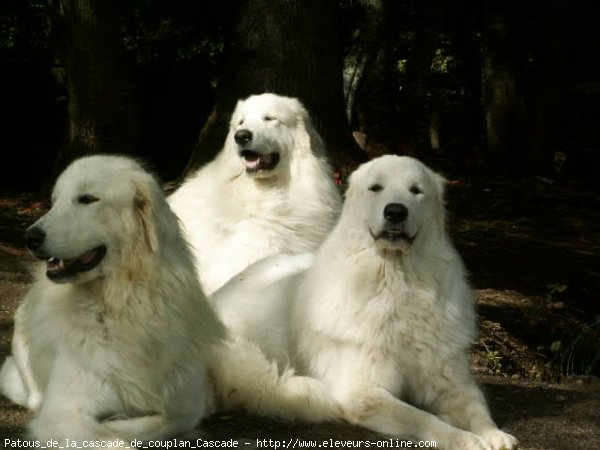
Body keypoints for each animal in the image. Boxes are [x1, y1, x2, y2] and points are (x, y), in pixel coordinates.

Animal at [0, 154, 338, 446]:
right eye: (54, 201)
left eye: (87, 199)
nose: (29, 237)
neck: (127, 303)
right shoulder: (64, 416)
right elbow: (112, 439)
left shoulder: (185, 401)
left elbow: (168, 419)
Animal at [213, 156, 516, 450]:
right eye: (376, 188)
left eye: (416, 191)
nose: (395, 212)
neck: (397, 283)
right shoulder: (363, 392)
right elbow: (422, 418)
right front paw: (465, 439)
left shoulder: (452, 383)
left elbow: (478, 410)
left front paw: (495, 435)